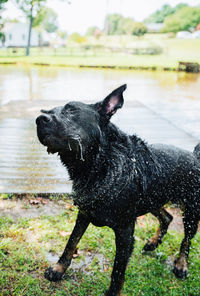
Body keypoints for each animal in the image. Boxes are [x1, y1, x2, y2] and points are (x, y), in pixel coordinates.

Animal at [36, 85, 200, 296]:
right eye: (48, 111)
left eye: (72, 110)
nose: (39, 119)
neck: (100, 165)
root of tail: (195, 156)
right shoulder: (84, 213)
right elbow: (71, 241)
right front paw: (58, 269)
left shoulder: (125, 231)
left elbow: (118, 271)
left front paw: (113, 292)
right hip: (152, 199)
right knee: (167, 217)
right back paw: (153, 242)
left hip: (191, 211)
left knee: (186, 240)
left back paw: (181, 264)